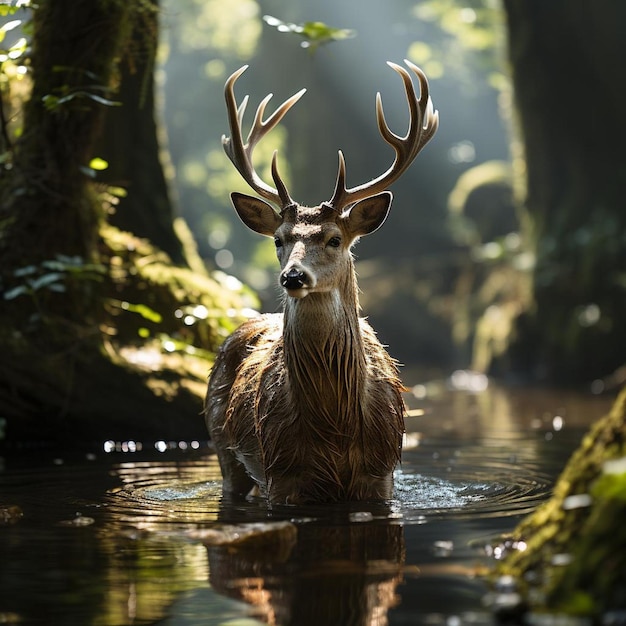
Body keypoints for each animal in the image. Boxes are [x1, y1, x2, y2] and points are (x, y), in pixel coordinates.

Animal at [202, 59, 436, 502]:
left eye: (334, 239)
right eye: (279, 239)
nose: (293, 276)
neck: (334, 429)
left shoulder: (381, 475)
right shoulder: (282, 474)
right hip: (222, 446)